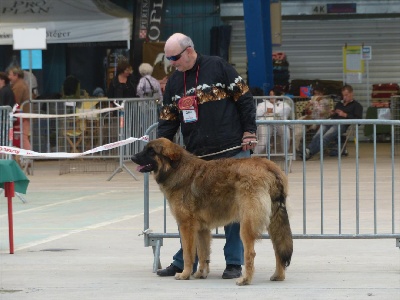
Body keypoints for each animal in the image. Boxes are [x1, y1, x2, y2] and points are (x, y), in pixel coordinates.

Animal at [133, 138, 292, 286]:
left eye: (151, 151)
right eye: (145, 149)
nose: (133, 157)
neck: (176, 168)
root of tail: (268, 166)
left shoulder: (186, 226)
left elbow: (188, 254)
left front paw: (185, 274)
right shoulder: (201, 229)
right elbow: (203, 253)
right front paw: (200, 273)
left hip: (247, 225)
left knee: (250, 253)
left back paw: (245, 279)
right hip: (274, 222)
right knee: (278, 249)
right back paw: (278, 276)